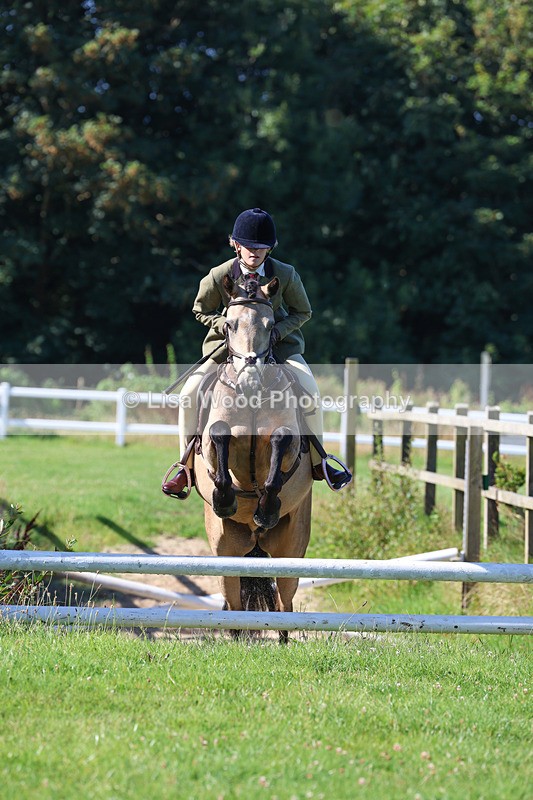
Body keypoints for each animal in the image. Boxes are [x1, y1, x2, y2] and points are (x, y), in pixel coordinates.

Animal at [193, 273, 313, 641]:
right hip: (225, 550)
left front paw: (267, 507)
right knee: (233, 601)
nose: (249, 377)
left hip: (291, 548)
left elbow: (280, 442)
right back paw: (237, 638)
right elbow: (219, 435)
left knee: (285, 604)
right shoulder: (216, 433)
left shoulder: (286, 439)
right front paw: (225, 499)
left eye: (270, 325)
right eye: (230, 324)